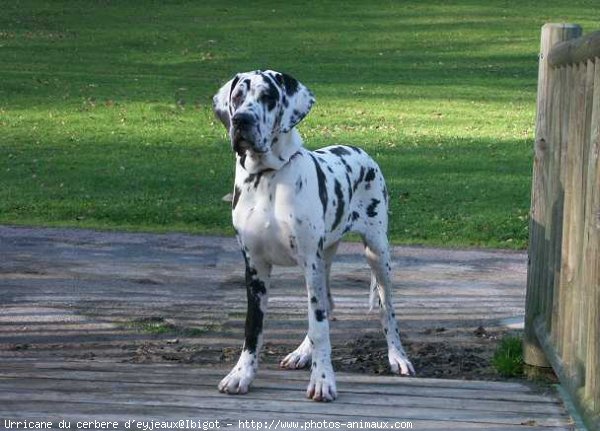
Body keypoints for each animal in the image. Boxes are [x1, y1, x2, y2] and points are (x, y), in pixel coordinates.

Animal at [211, 69, 412, 404]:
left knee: (387, 311)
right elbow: (254, 327)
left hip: (376, 253)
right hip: (325, 259)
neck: (268, 178)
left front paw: (322, 381)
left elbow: (319, 327)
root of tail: (360, 151)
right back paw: (301, 353)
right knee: (326, 304)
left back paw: (398, 356)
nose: (241, 120)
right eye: (237, 97)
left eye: (268, 97)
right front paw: (241, 375)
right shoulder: (255, 267)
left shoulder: (309, 262)